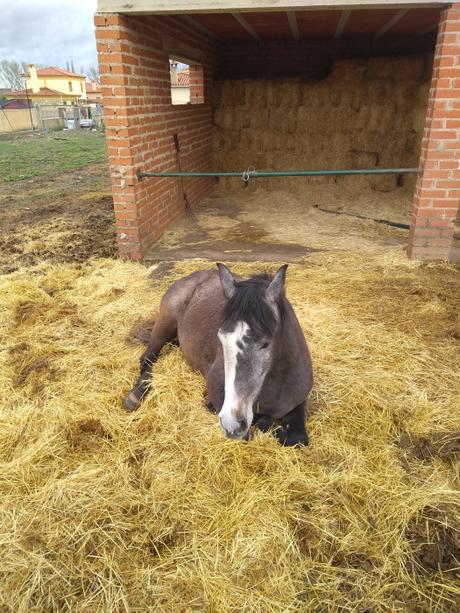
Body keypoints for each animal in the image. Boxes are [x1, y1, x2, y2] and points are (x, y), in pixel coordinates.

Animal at [124, 262, 314, 444]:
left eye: (266, 343)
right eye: (221, 338)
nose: (232, 423)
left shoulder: (299, 402)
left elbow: (298, 438)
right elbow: (257, 427)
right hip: (165, 321)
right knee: (147, 359)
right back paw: (135, 396)